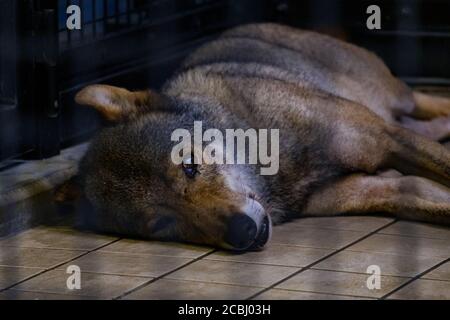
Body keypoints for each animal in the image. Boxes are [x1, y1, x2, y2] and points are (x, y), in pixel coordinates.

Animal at [71, 23, 450, 251]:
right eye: (164, 222)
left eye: (190, 167)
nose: (243, 232)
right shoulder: (392, 187)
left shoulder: (387, 138)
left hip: (396, 100)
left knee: (429, 103)